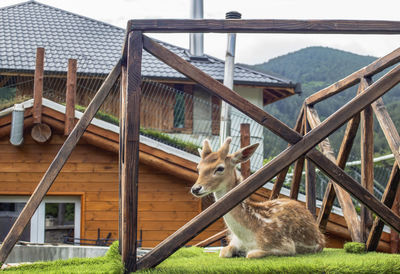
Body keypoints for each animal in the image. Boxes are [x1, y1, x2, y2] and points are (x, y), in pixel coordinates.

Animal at [191, 138, 324, 258]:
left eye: (220, 168)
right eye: (198, 168)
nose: (195, 188)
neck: (247, 235)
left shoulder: (285, 245)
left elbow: (251, 254)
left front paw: (245, 253)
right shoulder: (233, 242)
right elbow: (223, 252)